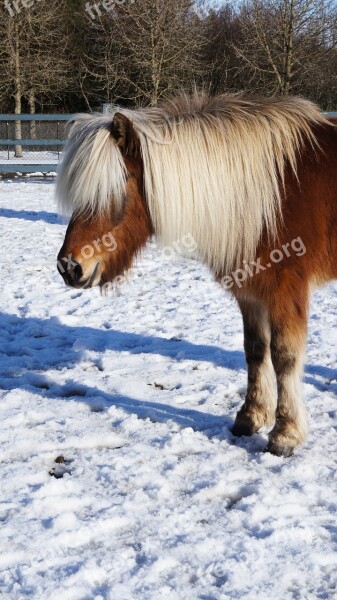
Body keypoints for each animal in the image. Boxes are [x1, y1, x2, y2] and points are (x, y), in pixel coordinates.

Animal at [56, 94, 336, 458]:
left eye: (116, 187)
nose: (69, 267)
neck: (272, 195)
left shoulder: (286, 291)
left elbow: (284, 356)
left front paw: (285, 434)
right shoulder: (251, 292)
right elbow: (255, 350)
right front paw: (250, 417)